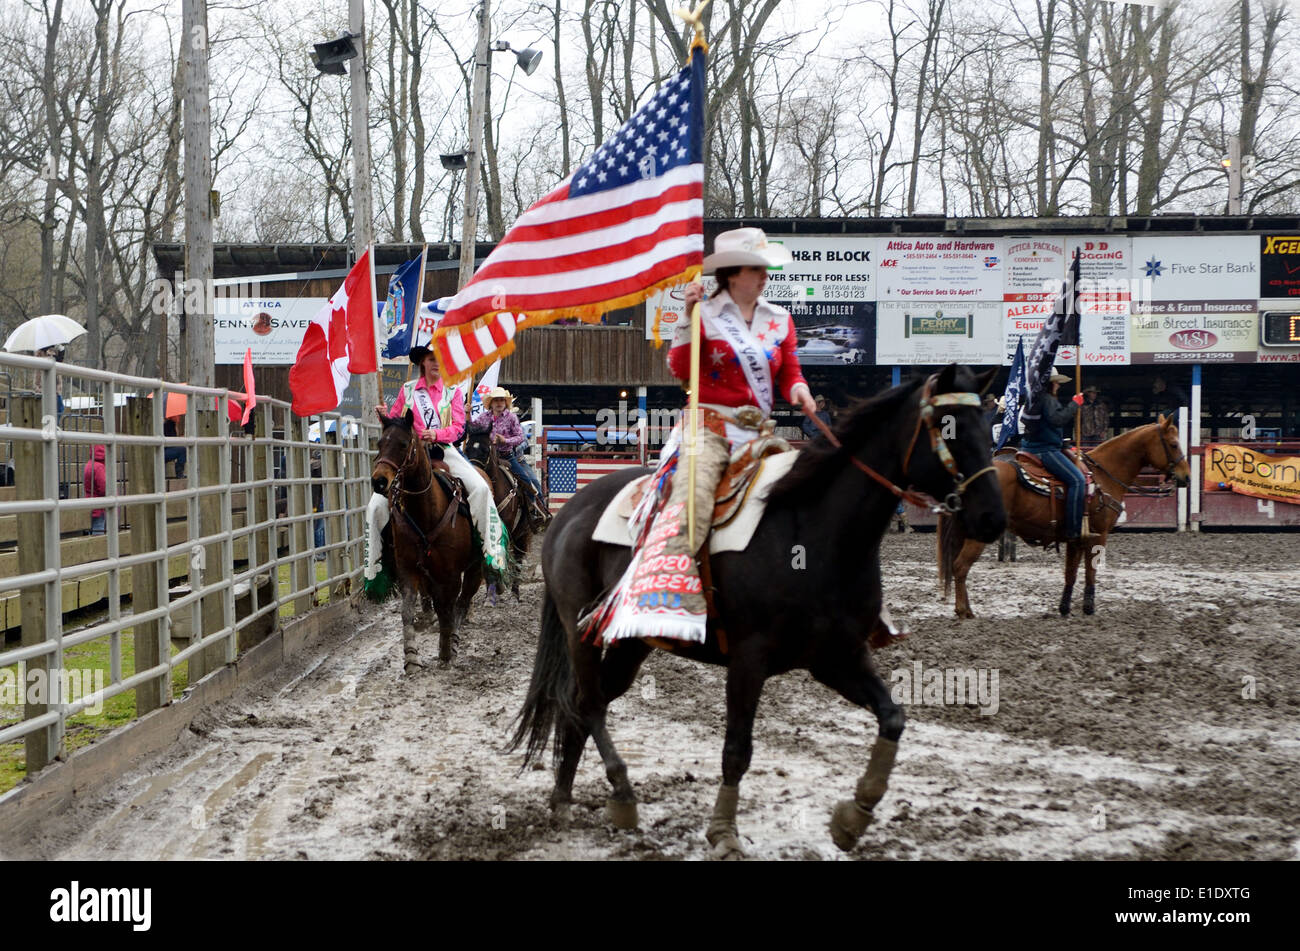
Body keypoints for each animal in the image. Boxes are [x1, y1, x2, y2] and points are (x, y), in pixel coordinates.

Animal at [371, 413, 483, 670]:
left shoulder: (451, 574)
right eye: (380, 443)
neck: (426, 512)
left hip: (475, 568)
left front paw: (446, 651)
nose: (379, 482)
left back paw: (454, 641)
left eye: (403, 444)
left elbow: (448, 609)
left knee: (463, 602)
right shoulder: (408, 569)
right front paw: (411, 656)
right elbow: (407, 609)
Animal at [465, 420, 530, 602]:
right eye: (467, 449)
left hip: (523, 533)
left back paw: (515, 593)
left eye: (486, 450)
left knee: (518, 558)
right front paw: (490, 592)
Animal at [506, 363, 1003, 852]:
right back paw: (622, 795)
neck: (815, 531)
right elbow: (736, 750)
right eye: (949, 426)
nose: (991, 517)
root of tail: (569, 511)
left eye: (989, 427)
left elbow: (893, 718)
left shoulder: (837, 656)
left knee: (581, 703)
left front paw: (854, 816)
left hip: (632, 642)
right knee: (588, 702)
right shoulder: (749, 659)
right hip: (580, 628)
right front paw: (723, 832)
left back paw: (563, 799)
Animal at [941, 413, 1190, 621]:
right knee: (960, 567)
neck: (1103, 475)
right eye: (1174, 444)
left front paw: (1064, 608)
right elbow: (1090, 571)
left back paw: (966, 609)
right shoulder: (1098, 535)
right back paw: (963, 611)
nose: (1186, 476)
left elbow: (1070, 573)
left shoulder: (1075, 537)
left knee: (957, 567)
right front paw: (1089, 608)